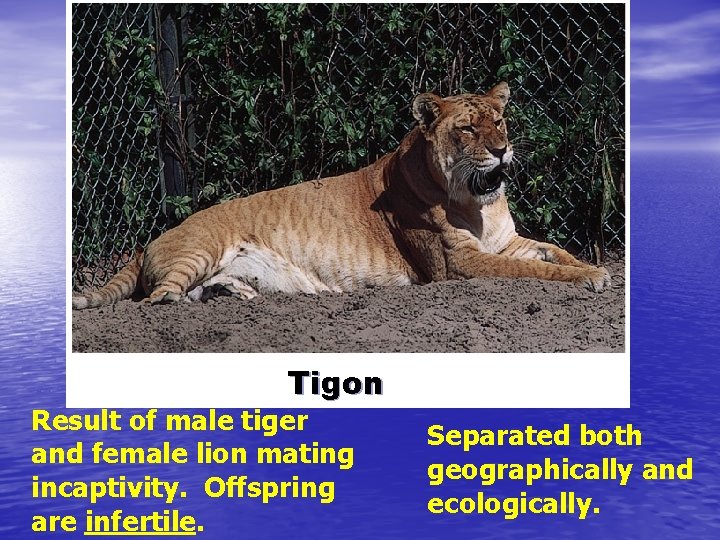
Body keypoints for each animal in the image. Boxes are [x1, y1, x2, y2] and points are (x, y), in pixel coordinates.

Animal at [72, 82, 610, 310]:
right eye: (467, 129)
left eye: (498, 121)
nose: (502, 150)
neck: (478, 202)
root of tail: (149, 240)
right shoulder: (457, 265)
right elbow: (534, 271)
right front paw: (591, 279)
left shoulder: (506, 241)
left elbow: (554, 251)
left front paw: (594, 267)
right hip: (200, 248)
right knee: (157, 296)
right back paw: (179, 301)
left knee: (198, 289)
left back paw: (238, 293)